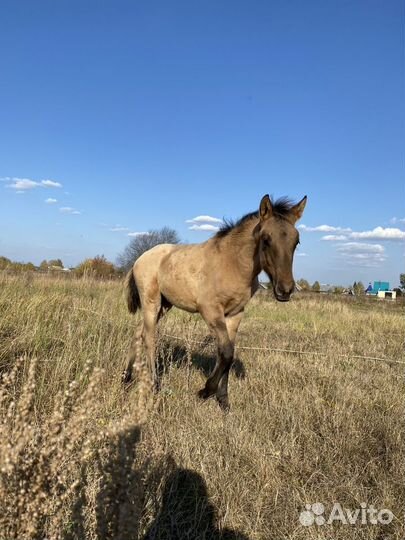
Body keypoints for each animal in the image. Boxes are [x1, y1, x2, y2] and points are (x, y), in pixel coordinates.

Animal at [123, 194, 306, 410]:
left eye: (296, 241)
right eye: (266, 239)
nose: (285, 290)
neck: (232, 264)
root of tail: (139, 259)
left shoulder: (235, 314)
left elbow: (228, 353)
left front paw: (223, 400)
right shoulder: (210, 310)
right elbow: (226, 352)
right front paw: (205, 391)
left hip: (165, 305)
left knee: (138, 332)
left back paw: (126, 378)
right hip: (151, 301)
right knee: (149, 337)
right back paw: (155, 384)